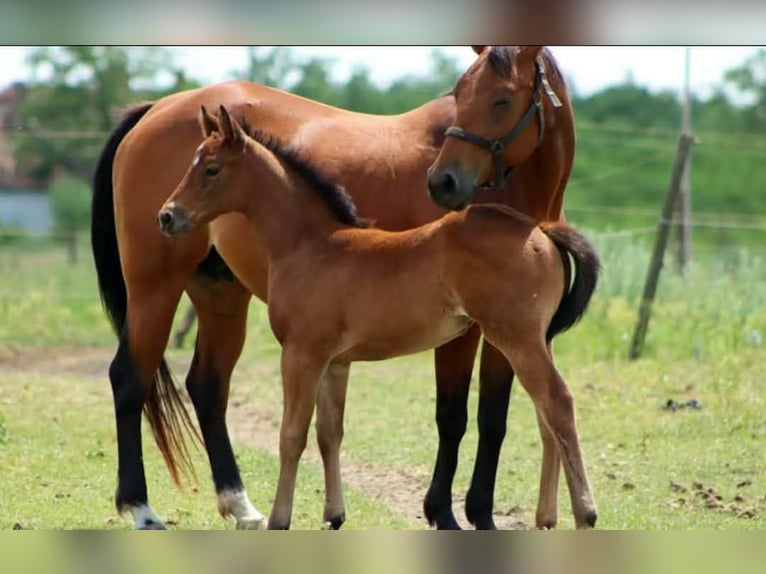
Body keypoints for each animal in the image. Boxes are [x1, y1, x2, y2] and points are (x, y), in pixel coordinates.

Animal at [91, 45, 574, 530]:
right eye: (458, 93)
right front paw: (446, 513)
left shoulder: (508, 330)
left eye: (502, 99)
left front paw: (481, 514)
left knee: (207, 386)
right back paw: (141, 507)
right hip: (155, 285)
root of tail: (154, 108)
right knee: (130, 377)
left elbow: (494, 417)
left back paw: (240, 506)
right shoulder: (463, 332)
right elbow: (452, 416)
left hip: (220, 293)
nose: (444, 183)